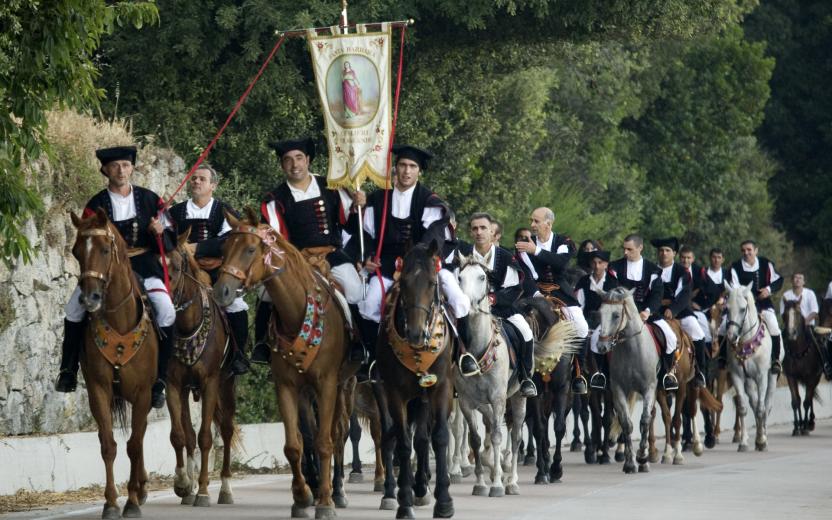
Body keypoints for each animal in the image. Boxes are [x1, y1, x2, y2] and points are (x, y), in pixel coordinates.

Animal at [70, 208, 158, 520]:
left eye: (105, 250)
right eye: (75, 252)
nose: (89, 298)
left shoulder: (143, 393)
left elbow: (134, 445)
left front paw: (131, 503)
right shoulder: (99, 390)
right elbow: (108, 444)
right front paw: (110, 503)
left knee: (140, 438)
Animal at [164, 238, 237, 506]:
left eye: (176, 267)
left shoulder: (210, 383)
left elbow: (206, 437)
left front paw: (204, 491)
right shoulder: (174, 385)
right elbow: (179, 435)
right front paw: (183, 484)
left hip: (227, 385)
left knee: (226, 430)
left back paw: (225, 489)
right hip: (188, 390)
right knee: (189, 434)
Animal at [596, 286, 660, 474]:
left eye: (616, 315)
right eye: (599, 313)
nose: (602, 346)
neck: (631, 349)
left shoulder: (649, 388)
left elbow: (645, 420)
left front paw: (642, 458)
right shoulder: (618, 390)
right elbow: (626, 423)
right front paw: (630, 463)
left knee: (651, 416)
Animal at [724, 280, 776, 450]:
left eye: (742, 309)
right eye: (727, 308)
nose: (731, 336)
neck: (746, 342)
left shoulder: (761, 377)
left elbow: (761, 408)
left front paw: (761, 440)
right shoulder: (737, 376)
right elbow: (742, 408)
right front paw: (743, 442)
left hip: (771, 377)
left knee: (766, 405)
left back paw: (764, 434)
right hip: (748, 381)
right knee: (753, 403)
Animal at [784, 296, 824, 434]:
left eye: (797, 313)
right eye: (785, 314)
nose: (791, 333)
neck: (798, 352)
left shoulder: (811, 376)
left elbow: (806, 401)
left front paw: (805, 427)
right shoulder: (791, 377)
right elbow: (796, 401)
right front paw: (797, 427)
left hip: (816, 377)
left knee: (810, 397)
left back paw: (809, 423)